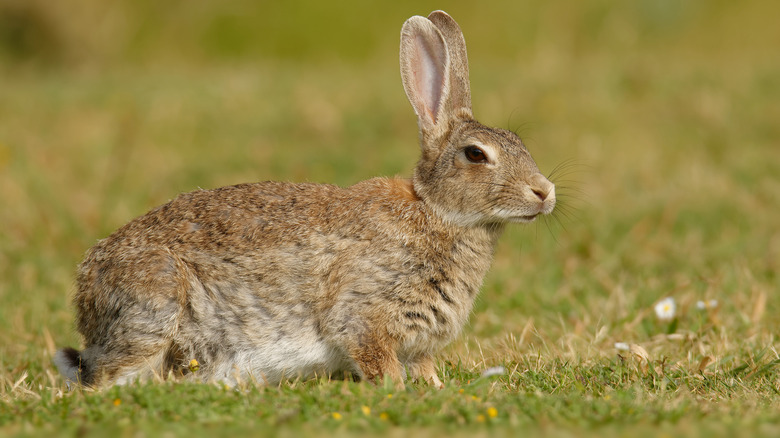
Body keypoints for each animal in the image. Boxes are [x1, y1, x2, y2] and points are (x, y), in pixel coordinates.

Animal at [54, 10, 556, 390]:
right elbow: (378, 360)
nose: (544, 192)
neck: (437, 212)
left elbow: (423, 368)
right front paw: (399, 392)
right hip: (154, 306)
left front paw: (434, 389)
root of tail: (86, 289)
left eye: (518, 141)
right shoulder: (364, 317)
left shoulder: (419, 341)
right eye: (476, 154)